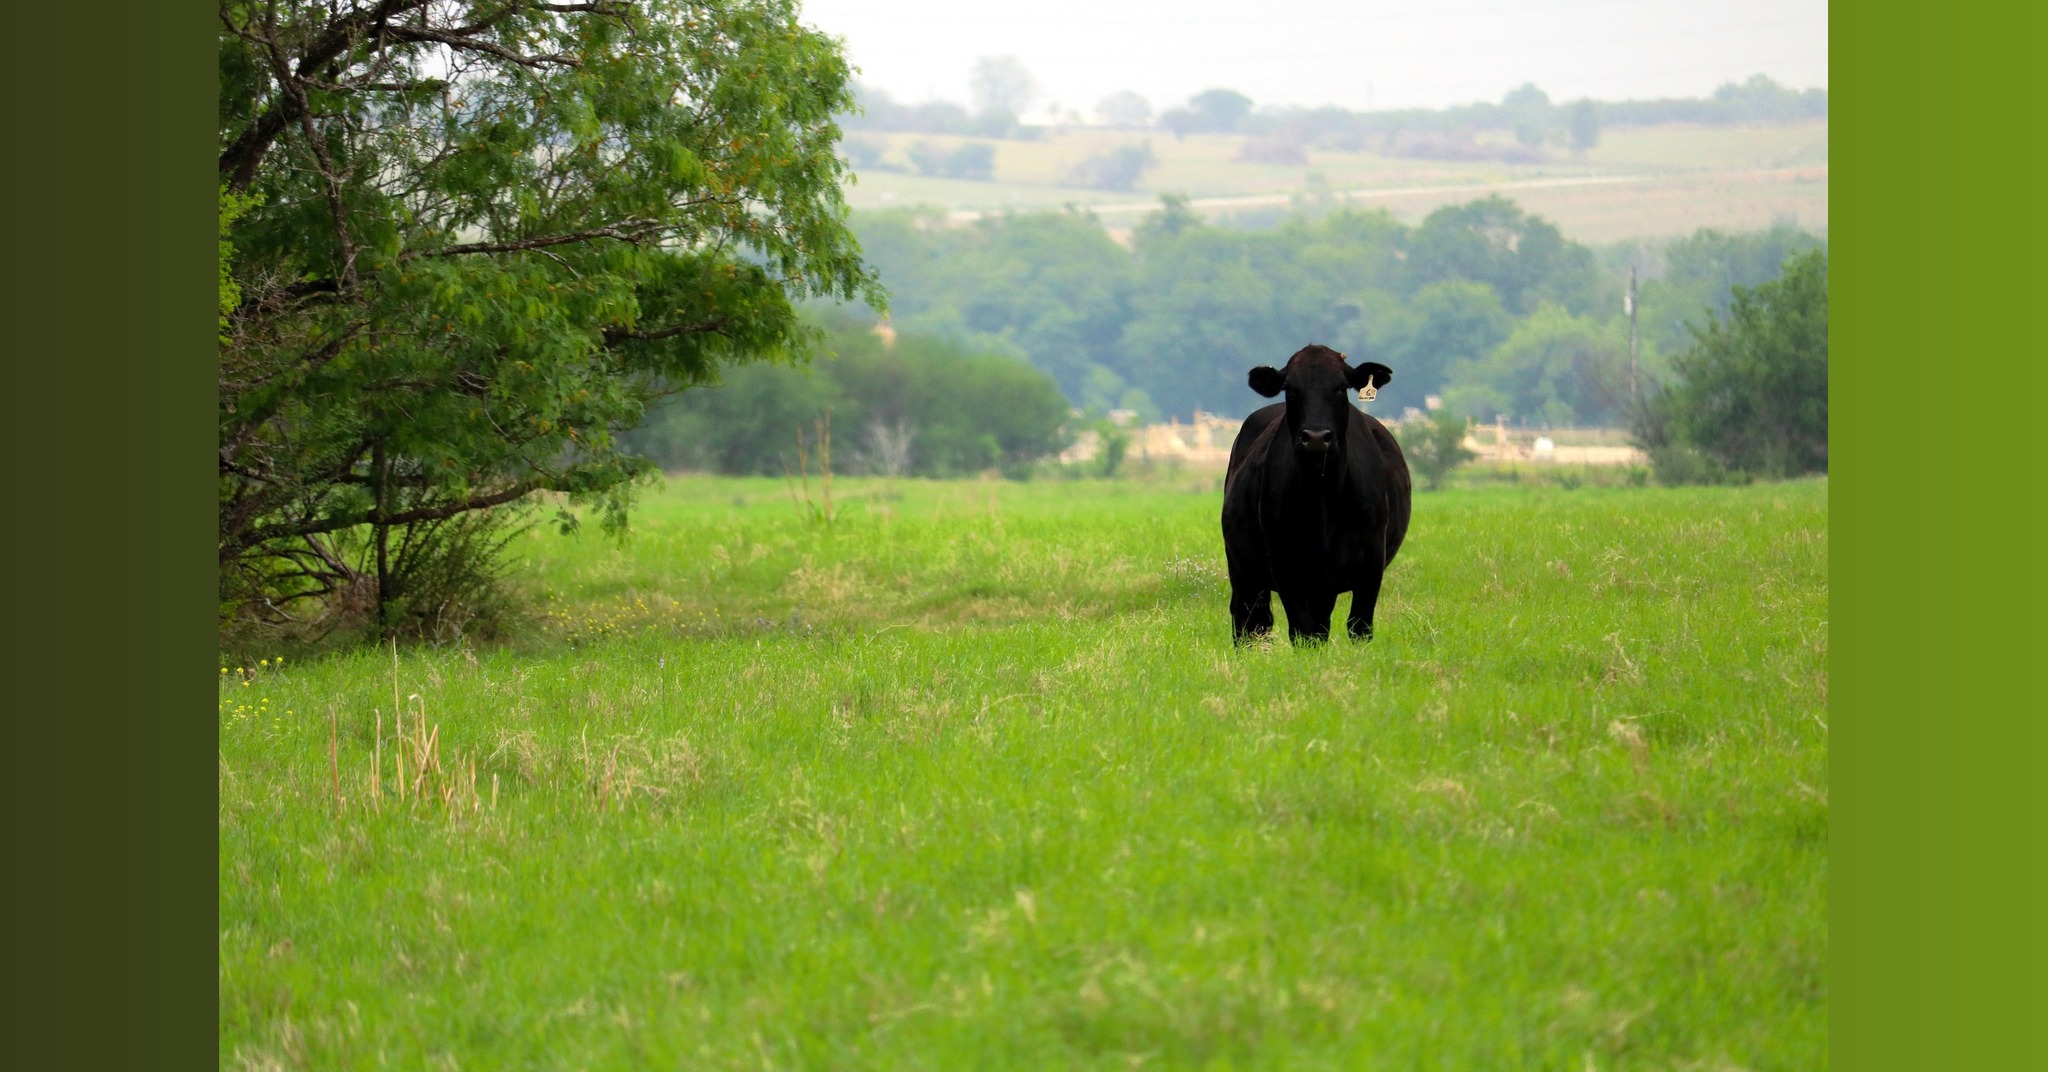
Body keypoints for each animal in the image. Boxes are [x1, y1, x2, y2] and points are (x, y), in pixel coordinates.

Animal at [1221, 344, 1412, 644]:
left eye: (1341, 387)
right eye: (1290, 388)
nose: (1316, 437)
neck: (1322, 497)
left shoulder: (1371, 564)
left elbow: (1359, 627)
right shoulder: (1286, 564)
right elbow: (1302, 631)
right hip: (1244, 570)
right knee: (1250, 621)